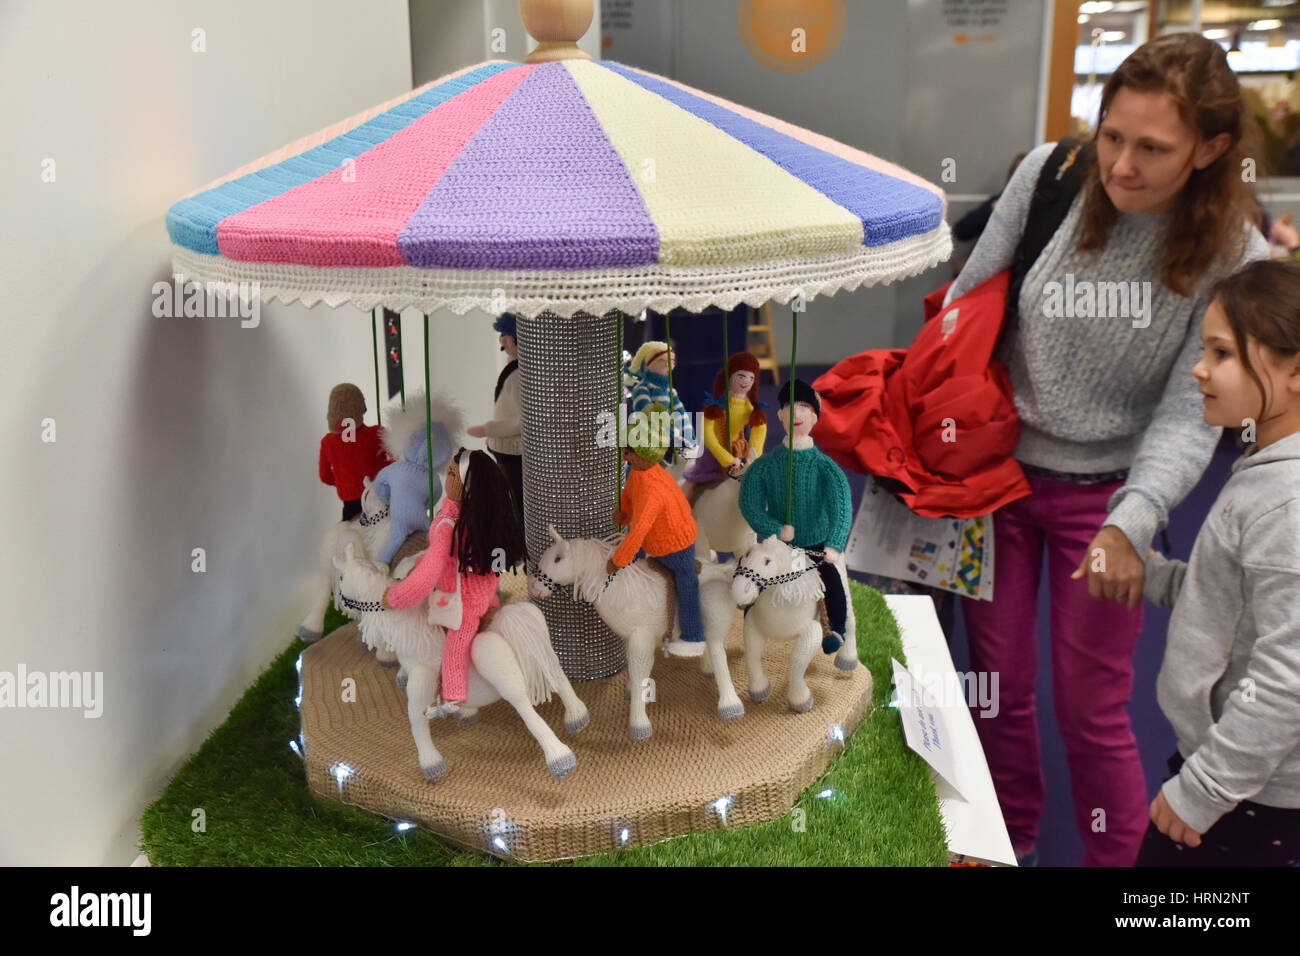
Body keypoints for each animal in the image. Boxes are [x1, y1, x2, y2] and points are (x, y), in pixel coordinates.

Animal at [335, 548, 590, 780]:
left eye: (340, 578)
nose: (342, 605)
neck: (414, 635)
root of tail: (509, 621)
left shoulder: (421, 681)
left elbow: (416, 720)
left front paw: (431, 764)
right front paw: (466, 712)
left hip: (499, 669)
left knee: (526, 709)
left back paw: (560, 759)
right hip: (542, 650)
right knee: (559, 678)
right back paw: (577, 716)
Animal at [527, 522, 743, 738]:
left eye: (558, 559)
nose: (533, 587)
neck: (623, 590)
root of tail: (724, 571)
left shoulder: (642, 638)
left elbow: (639, 670)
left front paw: (639, 724)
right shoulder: (630, 639)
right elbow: (633, 669)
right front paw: (632, 692)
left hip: (714, 621)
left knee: (718, 654)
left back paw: (730, 705)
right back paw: (707, 669)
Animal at [733, 538, 863, 712]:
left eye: (767, 562)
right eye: (747, 554)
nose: (738, 592)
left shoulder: (812, 632)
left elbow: (797, 660)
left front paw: (801, 700)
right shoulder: (753, 626)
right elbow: (752, 655)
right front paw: (759, 690)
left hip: (844, 595)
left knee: (850, 622)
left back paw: (847, 660)